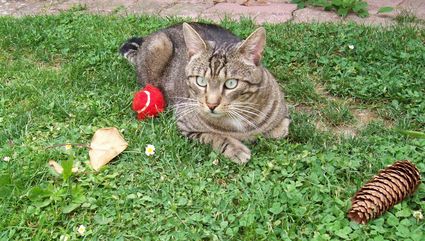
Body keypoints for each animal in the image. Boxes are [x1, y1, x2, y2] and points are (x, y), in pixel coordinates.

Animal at [121, 22, 290, 164]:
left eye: (231, 83)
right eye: (200, 81)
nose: (211, 104)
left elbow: (281, 129)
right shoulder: (184, 123)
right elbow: (214, 136)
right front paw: (235, 148)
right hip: (160, 47)